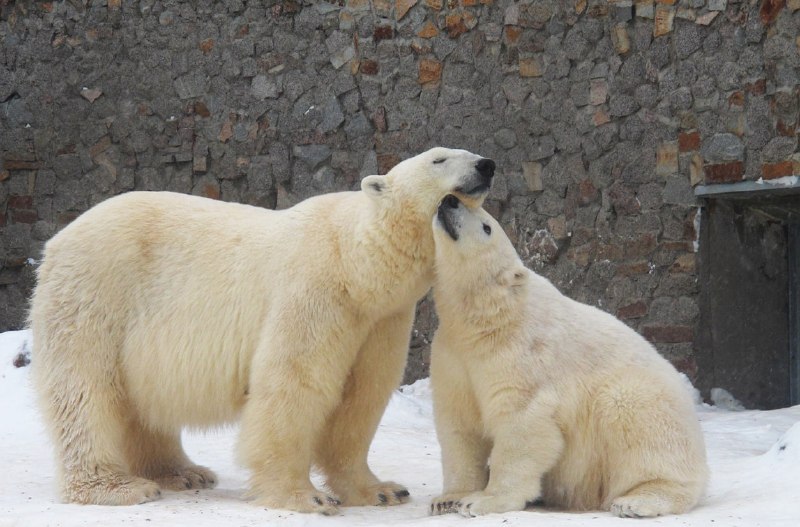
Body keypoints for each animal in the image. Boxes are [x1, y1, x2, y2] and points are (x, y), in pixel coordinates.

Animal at [28, 147, 494, 516]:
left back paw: (183, 473)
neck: (356, 264)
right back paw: (117, 486)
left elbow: (362, 396)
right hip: (96, 297)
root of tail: (56, 241)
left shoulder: (382, 318)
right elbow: (294, 382)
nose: (486, 164)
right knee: (86, 393)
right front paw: (306, 497)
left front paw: (381, 490)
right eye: (438, 158)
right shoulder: (315, 291)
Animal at [428, 198, 708, 520]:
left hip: (649, 406)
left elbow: (523, 423)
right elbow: (459, 427)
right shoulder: (453, 355)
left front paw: (482, 501)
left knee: (633, 417)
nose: (450, 200)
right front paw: (449, 499)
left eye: (487, 226)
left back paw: (636, 501)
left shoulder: (522, 356)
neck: (488, 318)